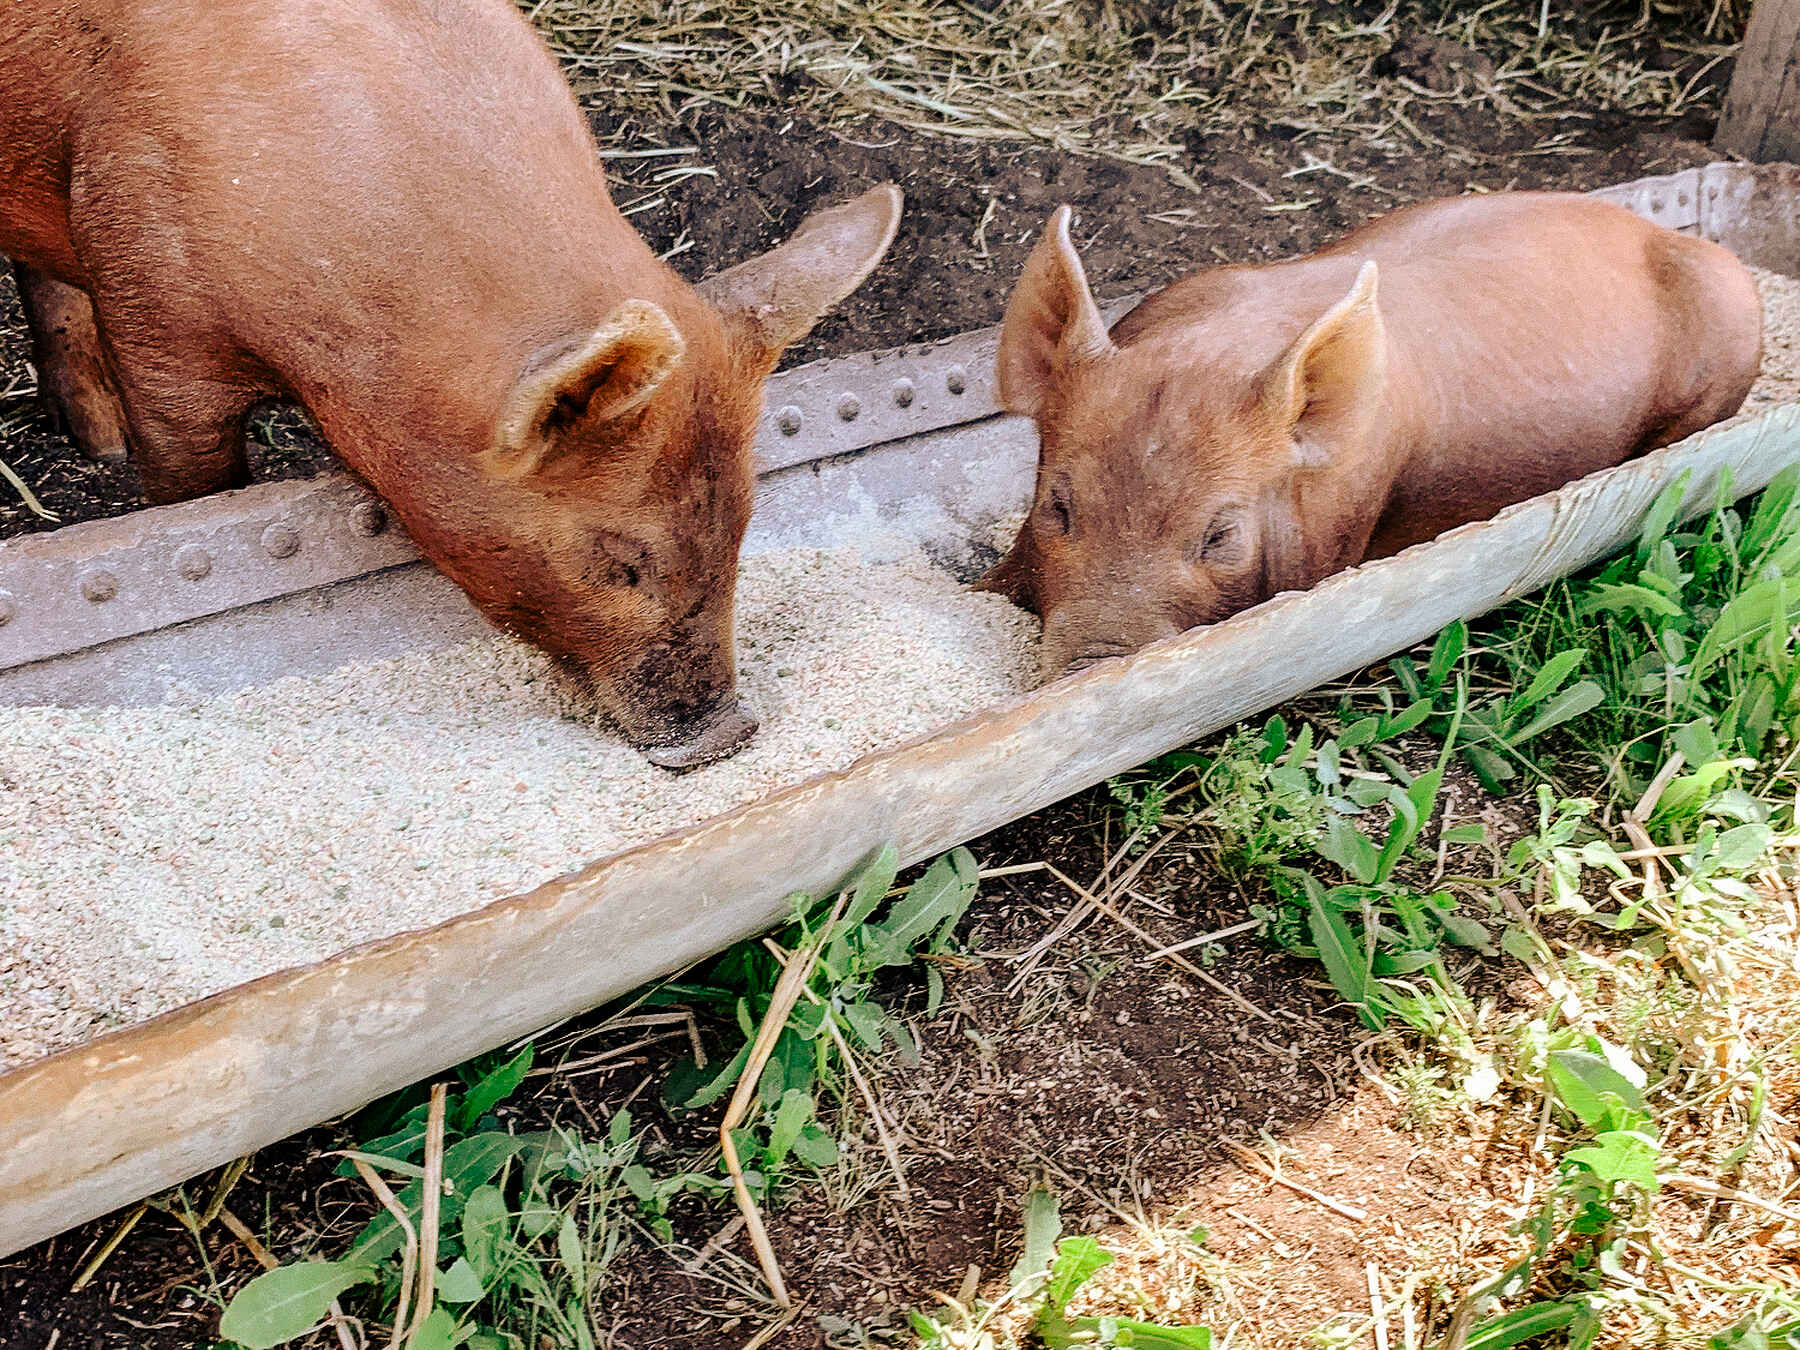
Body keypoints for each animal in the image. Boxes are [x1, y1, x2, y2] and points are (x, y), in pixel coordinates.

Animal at [0, 0, 904, 768]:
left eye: (745, 522)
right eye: (620, 563)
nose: (729, 732)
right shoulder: (154, 315)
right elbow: (192, 491)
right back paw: (101, 444)